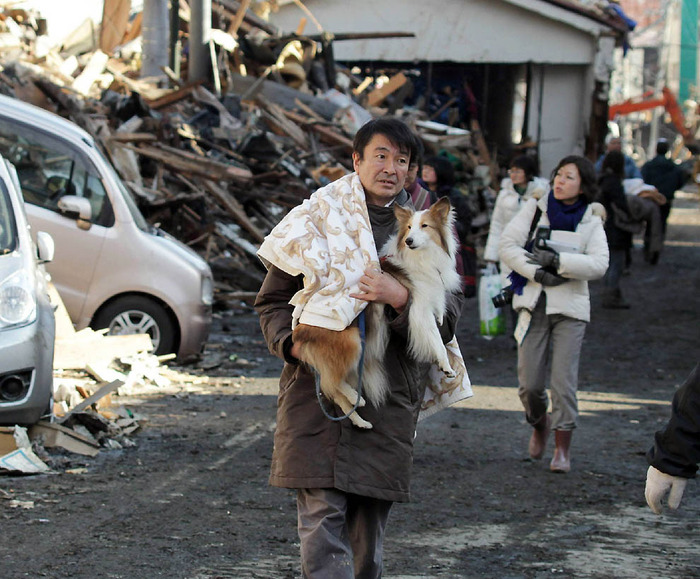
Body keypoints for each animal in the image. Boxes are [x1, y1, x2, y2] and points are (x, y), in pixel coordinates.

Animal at [292, 197, 462, 428]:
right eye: (409, 227)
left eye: (425, 226)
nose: (408, 241)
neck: (420, 257)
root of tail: (300, 329)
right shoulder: (419, 309)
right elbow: (436, 340)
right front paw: (446, 366)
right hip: (352, 341)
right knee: (332, 381)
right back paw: (356, 397)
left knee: (335, 392)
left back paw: (360, 420)